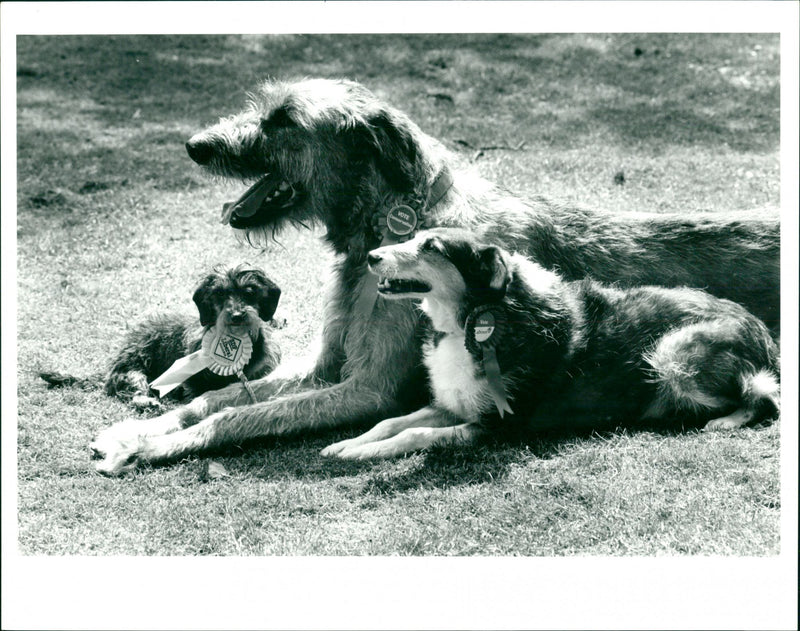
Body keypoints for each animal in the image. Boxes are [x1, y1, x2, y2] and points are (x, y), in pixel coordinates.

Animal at [90, 78, 780, 474]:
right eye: (263, 107)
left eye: (283, 119)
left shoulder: (369, 389)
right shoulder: (326, 365)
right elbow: (218, 396)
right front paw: (140, 427)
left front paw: (148, 447)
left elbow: (238, 417)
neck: (390, 221)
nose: (195, 146)